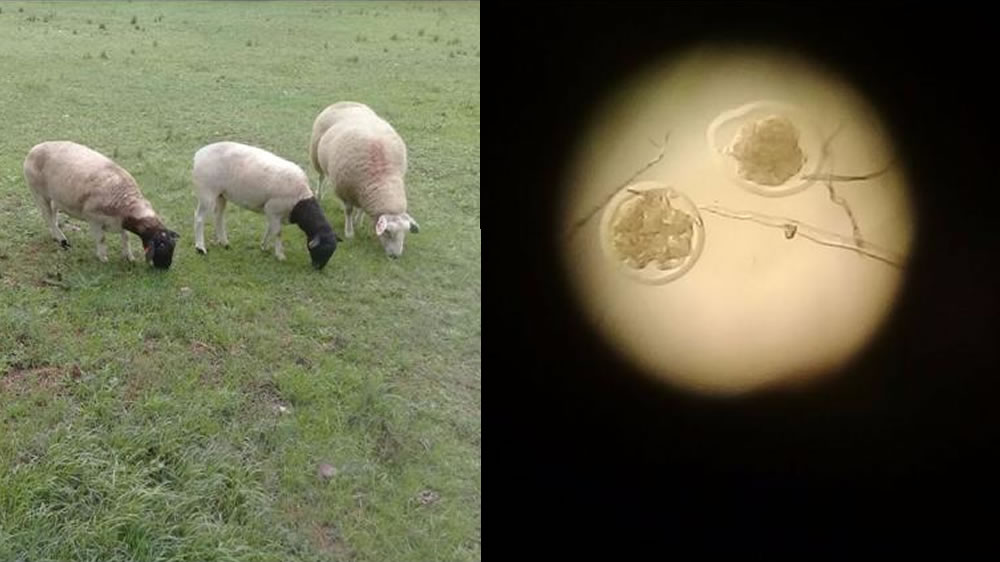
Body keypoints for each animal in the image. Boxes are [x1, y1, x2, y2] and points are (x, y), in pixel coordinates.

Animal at [23, 142, 182, 270]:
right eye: (161, 245)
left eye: (173, 245)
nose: (166, 267)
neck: (127, 202)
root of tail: (34, 149)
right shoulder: (94, 219)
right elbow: (101, 239)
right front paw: (103, 258)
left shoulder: (120, 222)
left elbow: (126, 237)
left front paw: (129, 256)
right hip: (38, 193)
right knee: (47, 217)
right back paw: (62, 240)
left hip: (56, 197)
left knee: (53, 215)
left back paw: (55, 235)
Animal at [191, 142, 340, 270]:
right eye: (322, 249)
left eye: (332, 251)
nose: (318, 268)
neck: (300, 200)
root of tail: (198, 154)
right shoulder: (273, 209)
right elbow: (278, 232)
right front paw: (280, 255)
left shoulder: (274, 214)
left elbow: (270, 229)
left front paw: (264, 246)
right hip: (207, 192)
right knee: (199, 218)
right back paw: (200, 248)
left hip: (221, 194)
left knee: (219, 216)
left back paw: (224, 242)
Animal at [308, 101, 418, 258]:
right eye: (387, 231)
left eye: (405, 232)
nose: (395, 257)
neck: (382, 176)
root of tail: (344, 102)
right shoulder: (345, 188)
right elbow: (348, 210)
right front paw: (349, 232)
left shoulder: (363, 189)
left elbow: (361, 209)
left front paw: (358, 221)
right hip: (316, 155)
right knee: (321, 177)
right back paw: (318, 195)